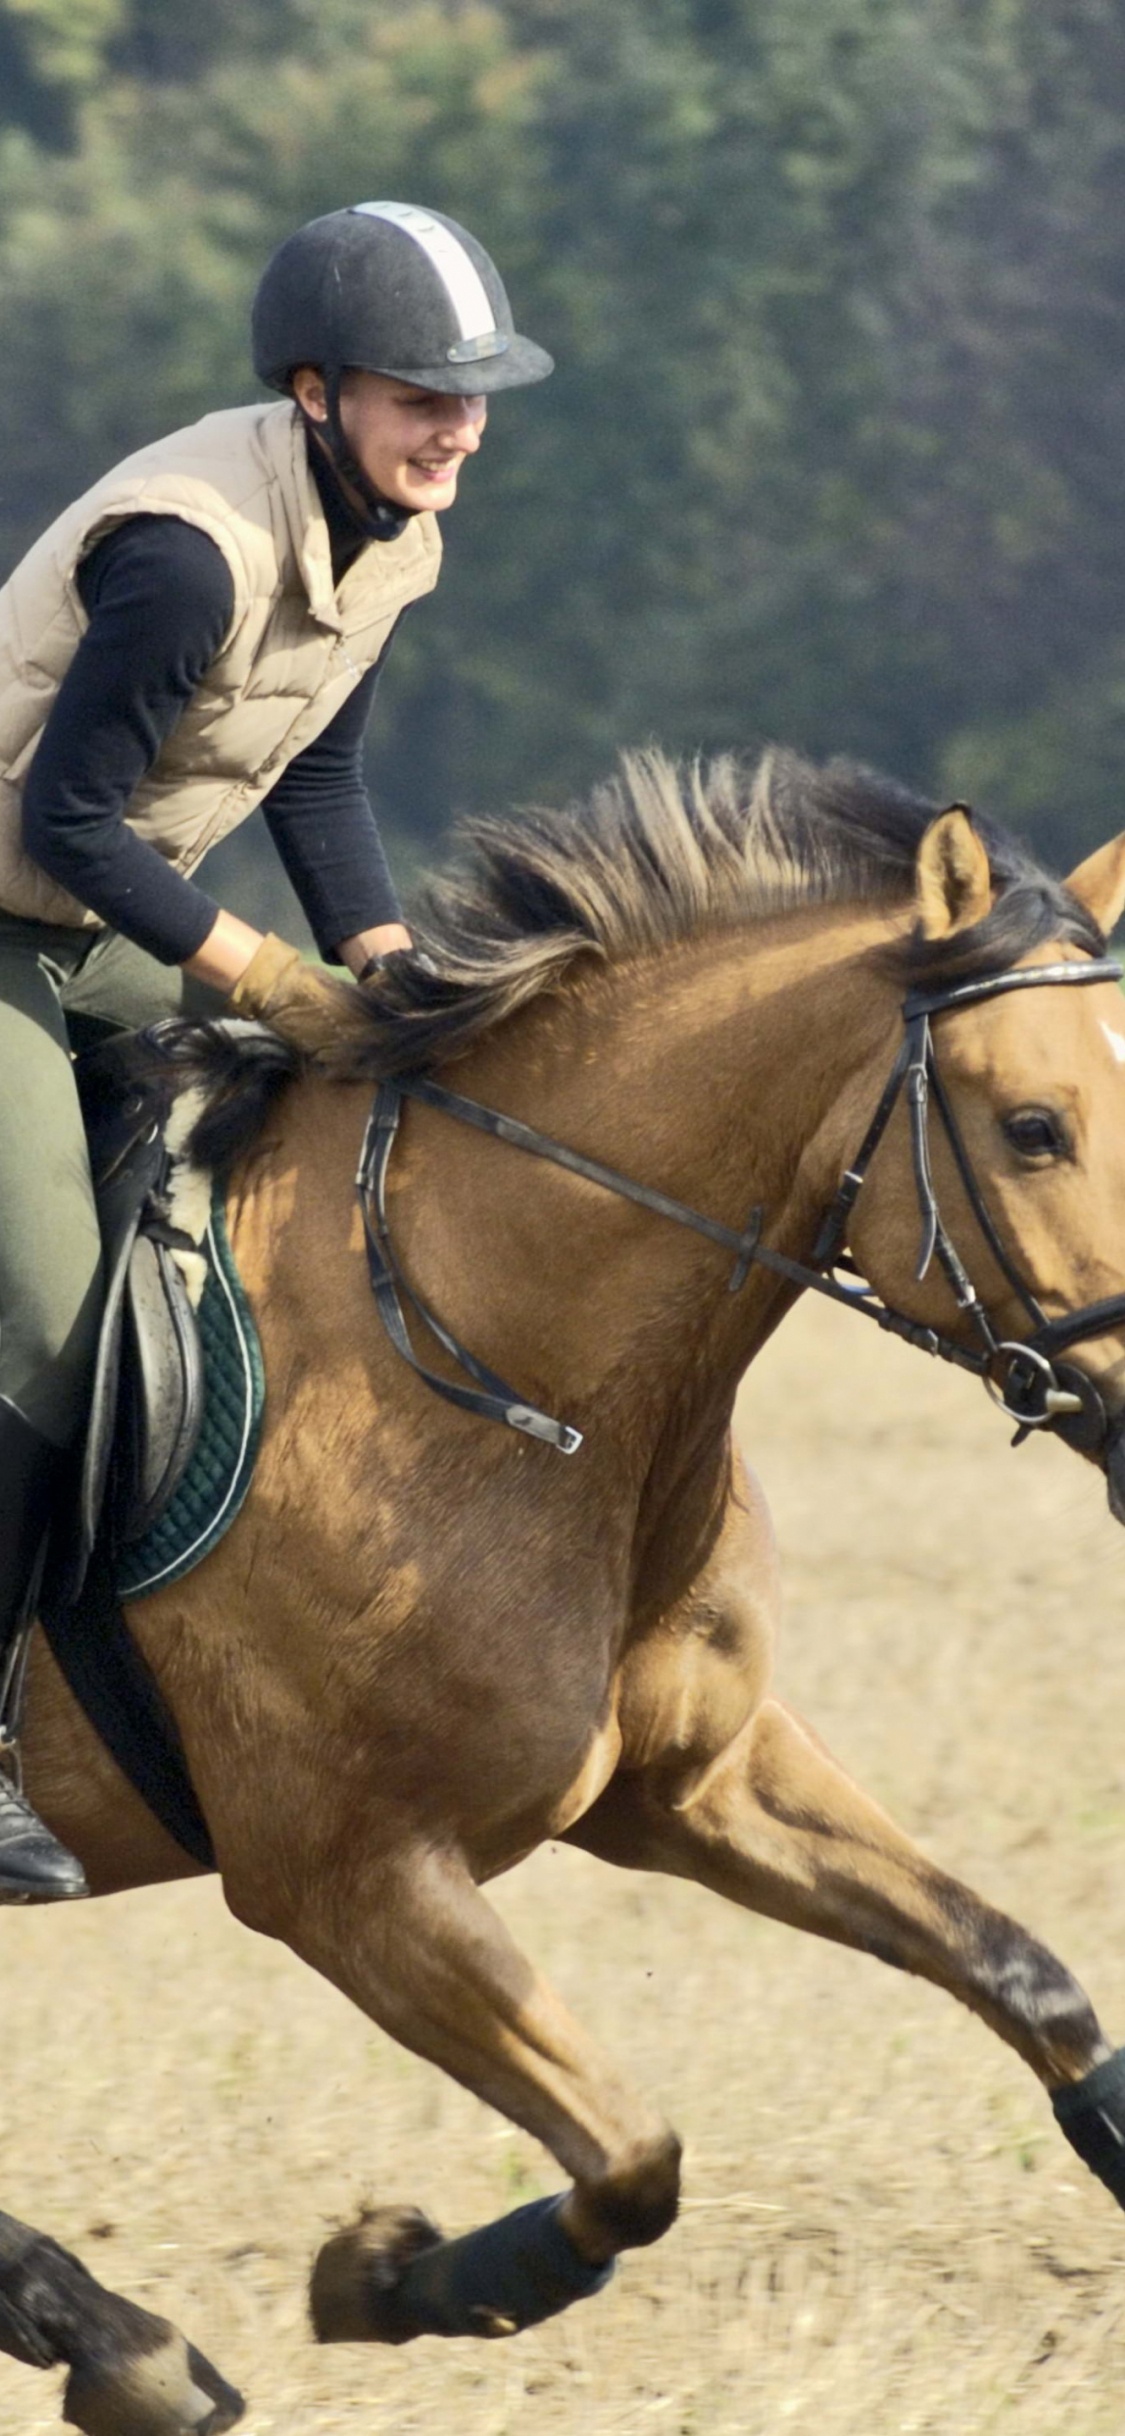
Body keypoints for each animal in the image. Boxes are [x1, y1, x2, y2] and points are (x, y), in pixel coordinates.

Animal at [6, 746, 1125, 2436]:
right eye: (1036, 1127)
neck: (493, 1359)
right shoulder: (350, 1880)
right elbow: (632, 2159)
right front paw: (384, 2279)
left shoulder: (694, 1779)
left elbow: (1030, 1982)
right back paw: (122, 2343)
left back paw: (108, 2337)